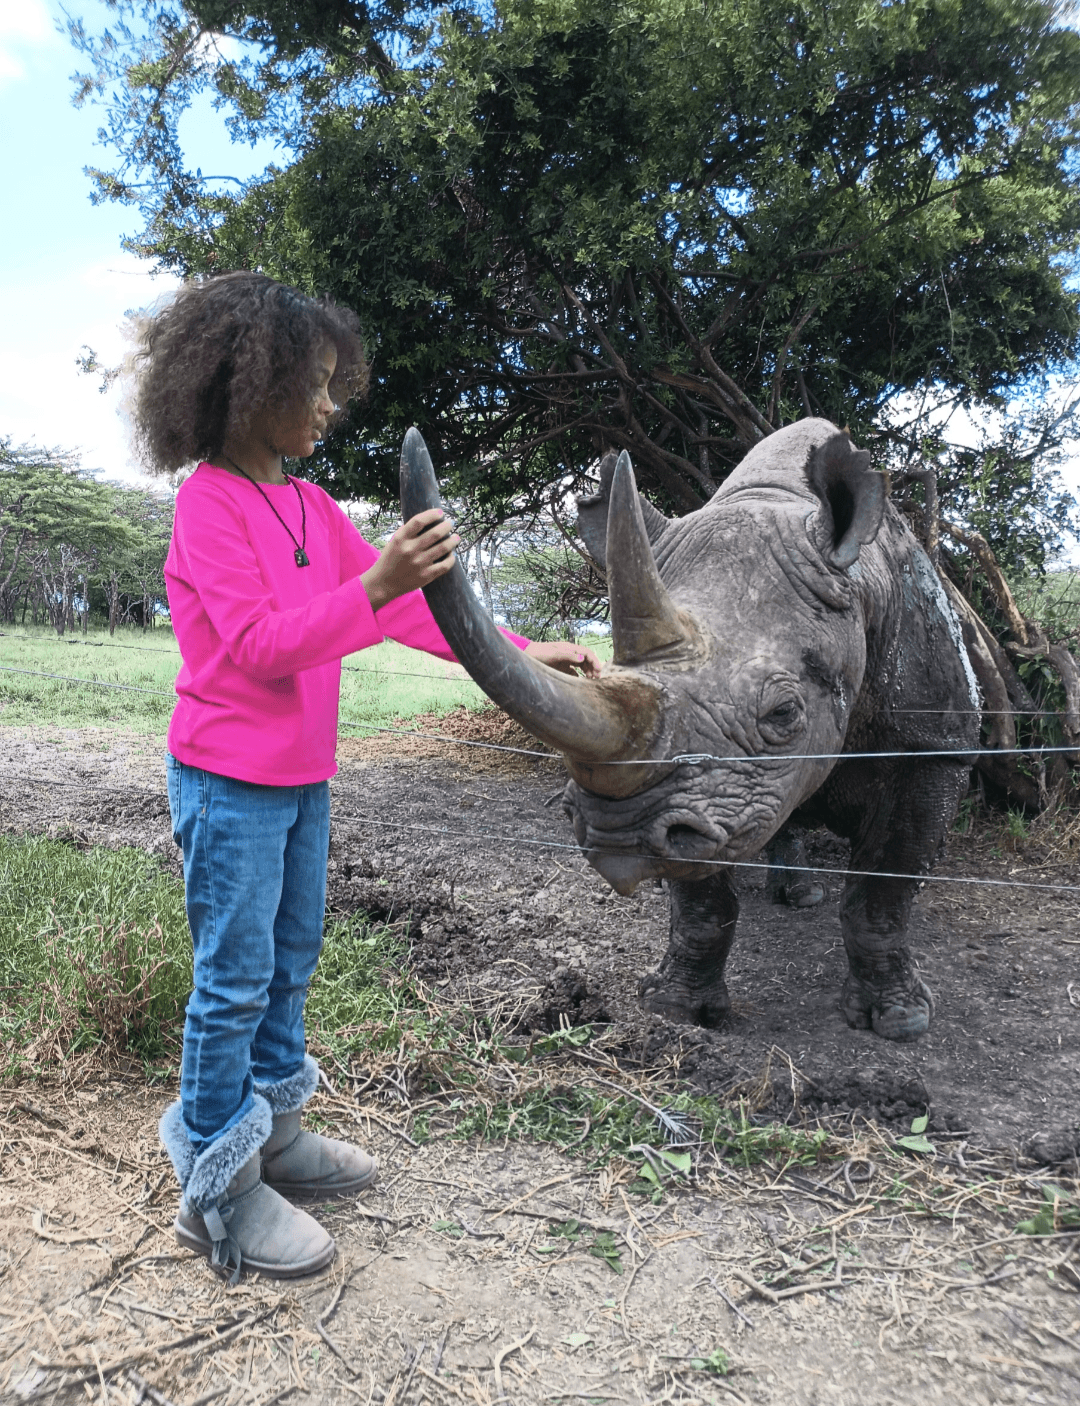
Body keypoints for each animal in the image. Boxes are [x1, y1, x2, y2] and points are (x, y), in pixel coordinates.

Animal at [400, 419, 980, 1042]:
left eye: (785, 714)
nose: (619, 838)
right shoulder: (695, 792)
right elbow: (701, 900)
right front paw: (678, 1008)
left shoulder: (936, 746)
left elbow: (884, 892)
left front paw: (898, 1021)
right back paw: (794, 892)